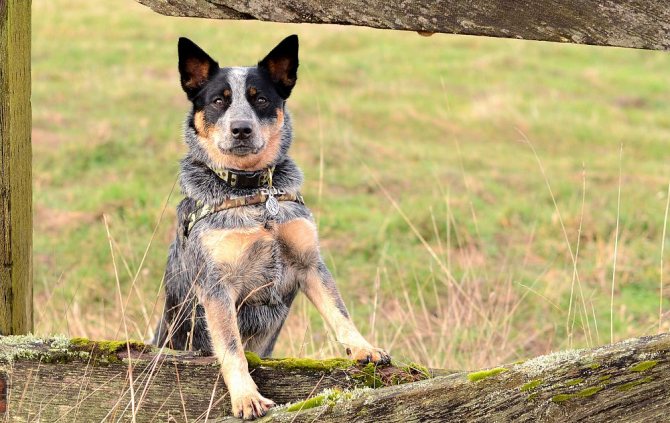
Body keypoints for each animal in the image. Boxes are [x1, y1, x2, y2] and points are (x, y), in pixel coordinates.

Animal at [154, 34, 392, 420]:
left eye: (260, 98)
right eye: (219, 100)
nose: (241, 129)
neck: (254, 191)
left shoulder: (309, 263)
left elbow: (338, 311)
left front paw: (363, 347)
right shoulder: (216, 285)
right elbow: (232, 348)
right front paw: (246, 397)